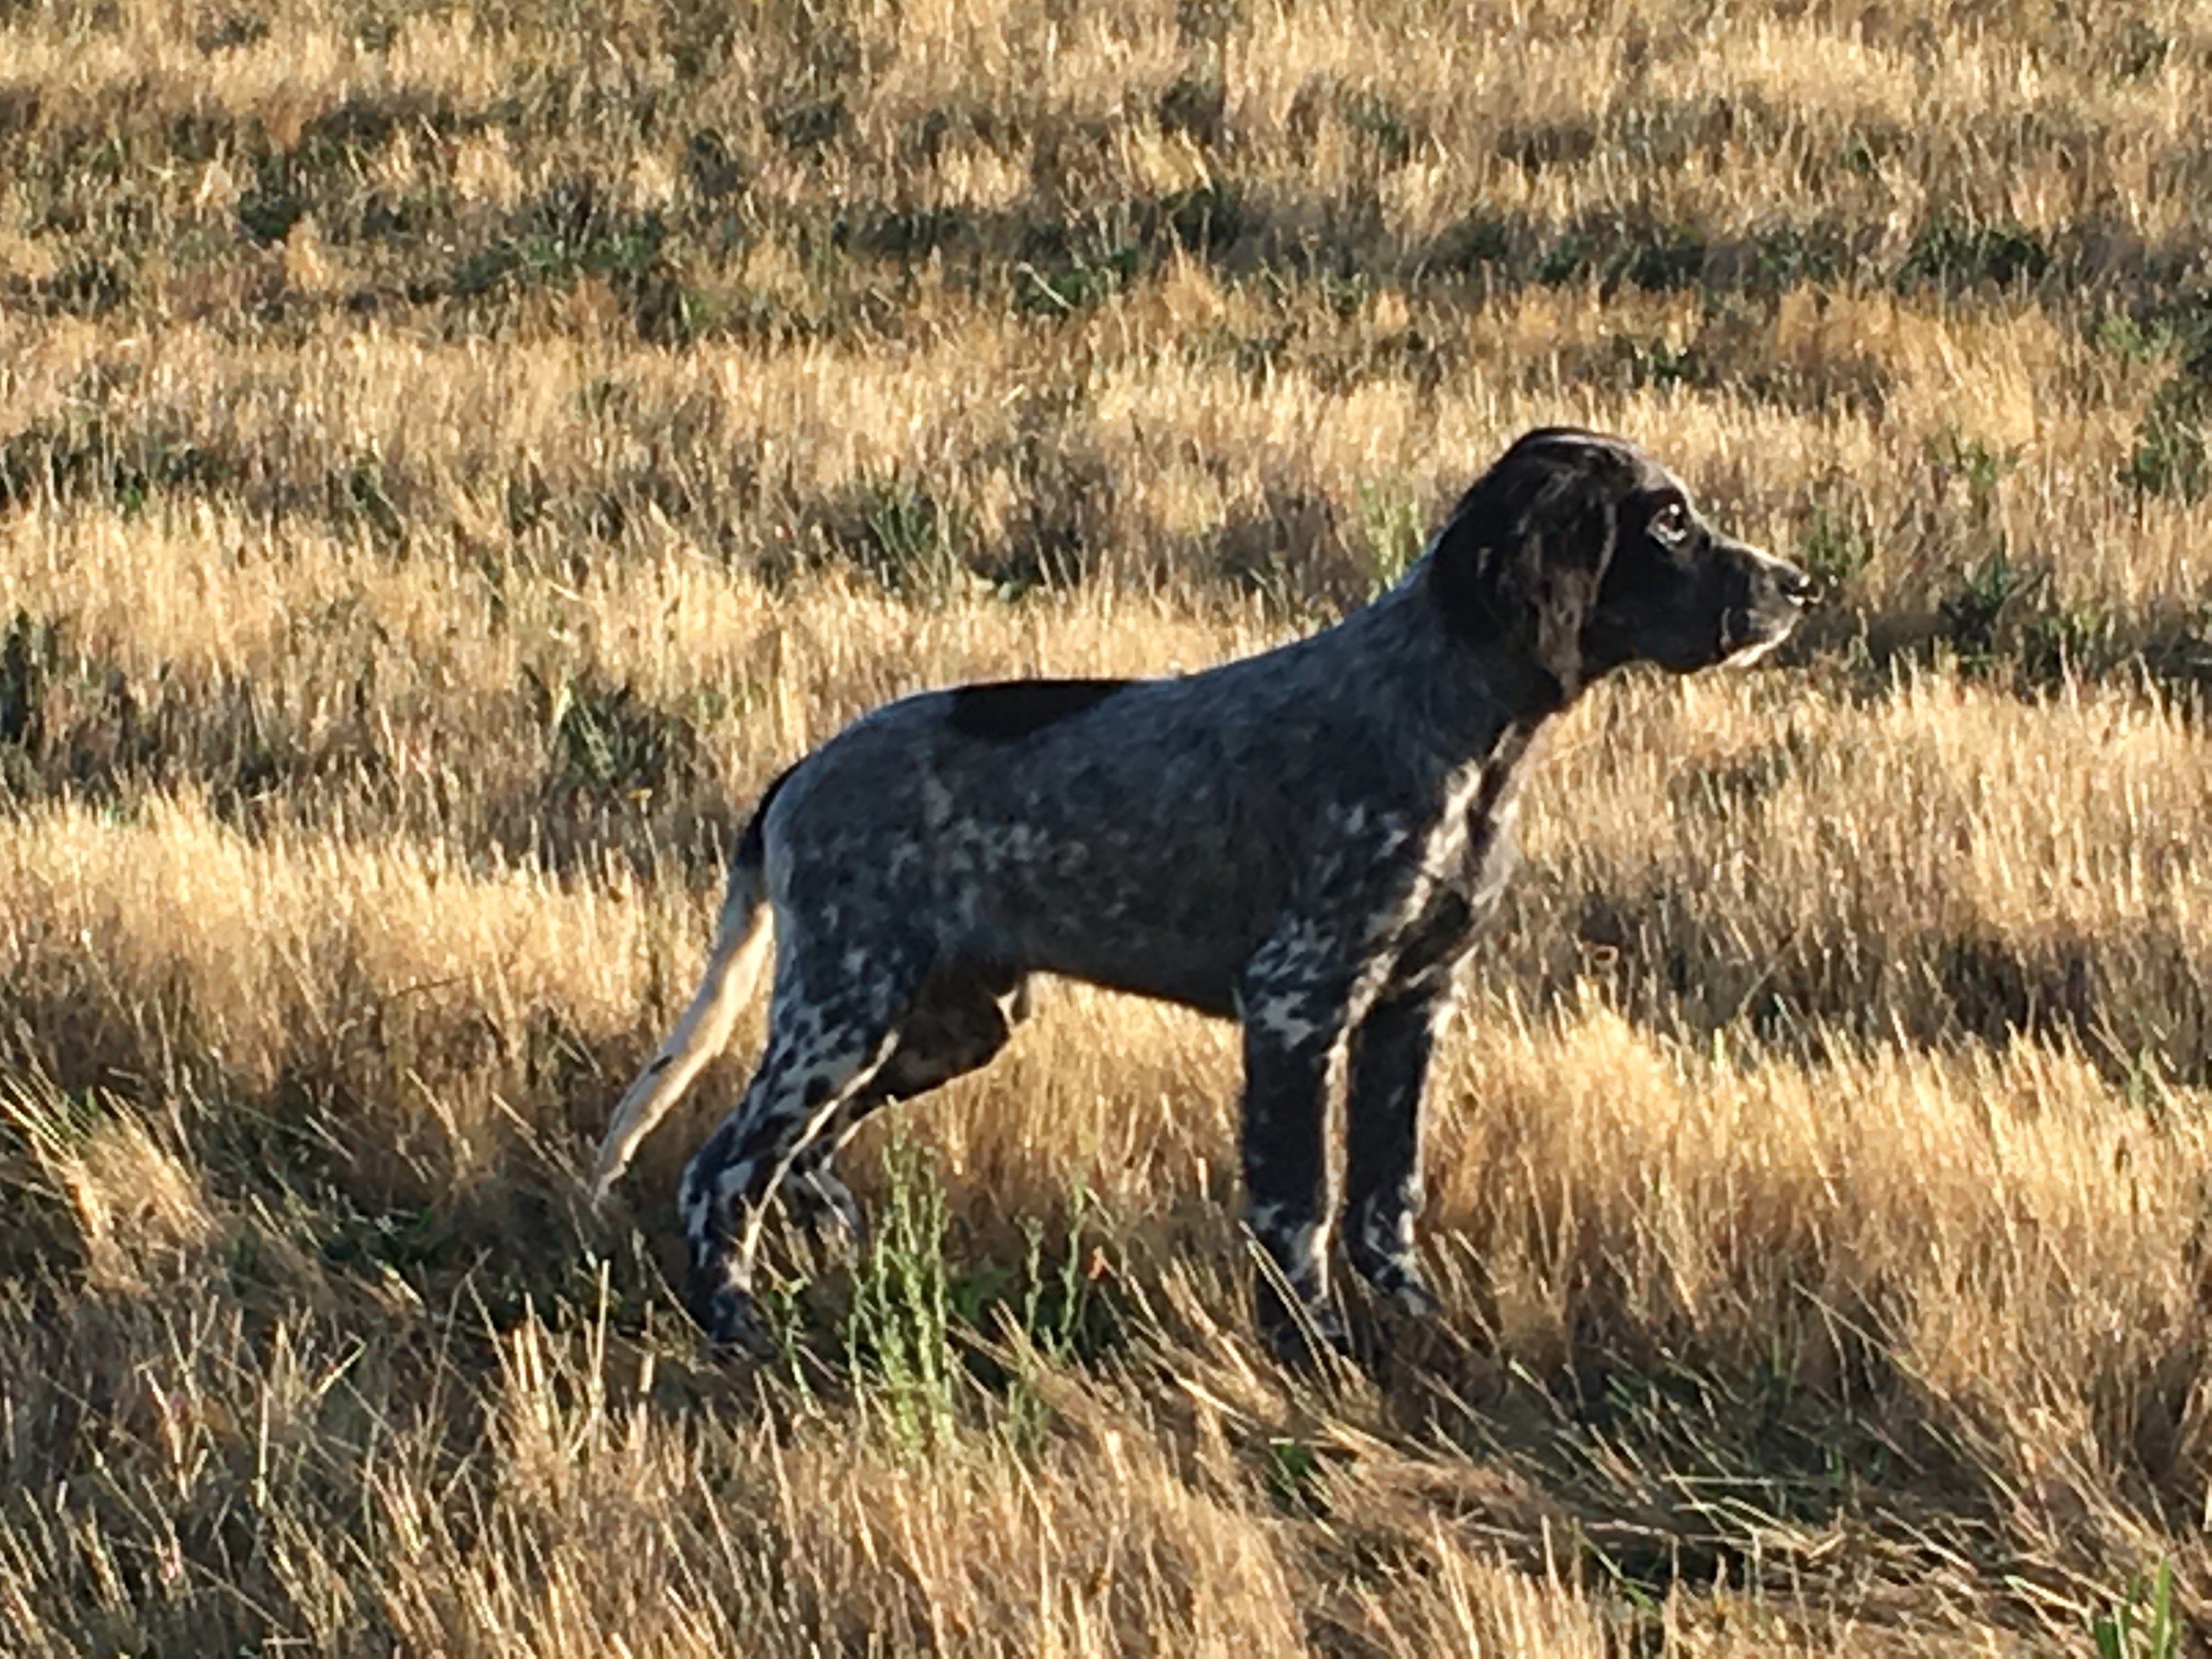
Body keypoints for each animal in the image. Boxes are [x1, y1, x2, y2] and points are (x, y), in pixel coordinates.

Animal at [592, 431, 1814, 1362]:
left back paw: (837, 1247)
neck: (1458, 723)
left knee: (806, 1154)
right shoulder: (1296, 1005)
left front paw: (1419, 1329)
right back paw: (737, 1321)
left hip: (951, 1019)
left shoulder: (1413, 1007)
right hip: (843, 1007)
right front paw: (1313, 1349)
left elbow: (1387, 1199)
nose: (1799, 587)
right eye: (1664, 522)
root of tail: (796, 775)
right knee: (725, 1164)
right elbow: (1297, 1204)